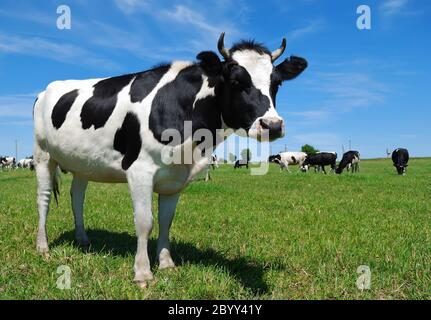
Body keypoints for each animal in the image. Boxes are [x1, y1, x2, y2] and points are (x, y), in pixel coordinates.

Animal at [33, 32, 308, 288]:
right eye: (236, 81)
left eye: (277, 83)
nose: (272, 125)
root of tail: (47, 89)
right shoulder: (139, 170)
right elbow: (145, 222)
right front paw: (143, 273)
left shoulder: (175, 178)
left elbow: (166, 221)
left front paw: (166, 263)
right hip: (43, 154)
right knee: (43, 198)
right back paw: (43, 246)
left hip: (82, 164)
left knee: (77, 197)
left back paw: (83, 239)